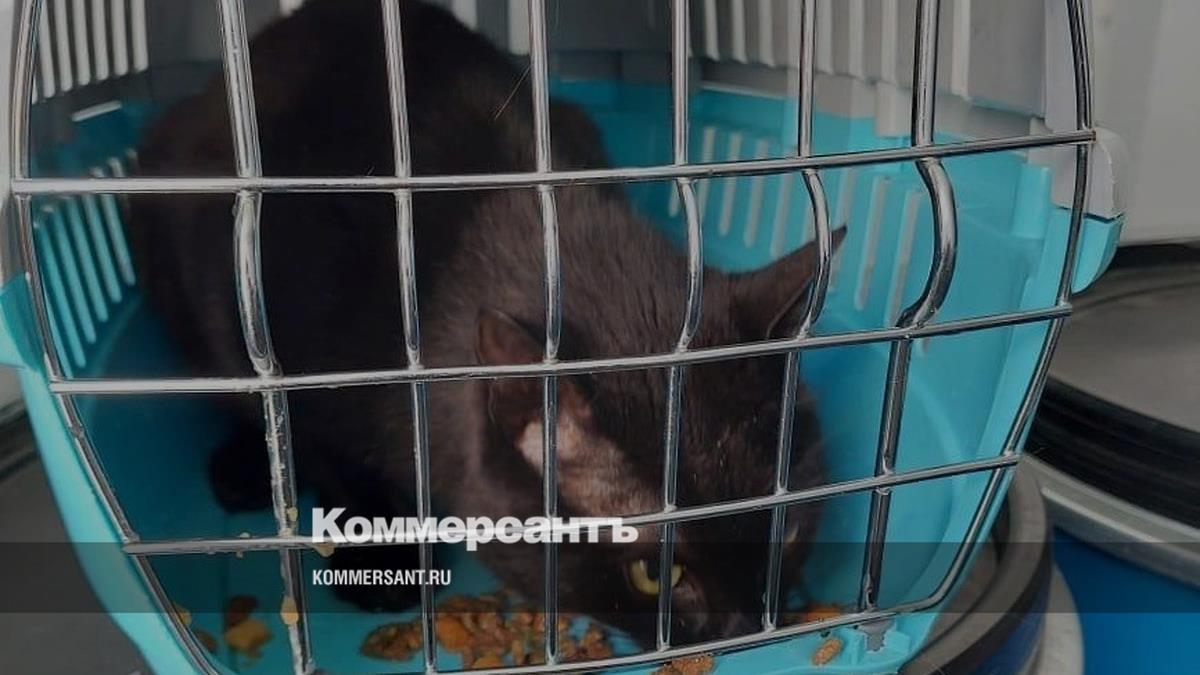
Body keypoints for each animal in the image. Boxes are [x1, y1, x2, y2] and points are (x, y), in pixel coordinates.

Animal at [128, 0, 838, 646]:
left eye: (785, 529)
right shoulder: (256, 323)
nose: (745, 626)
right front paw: (383, 554)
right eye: (653, 576)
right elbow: (317, 447)